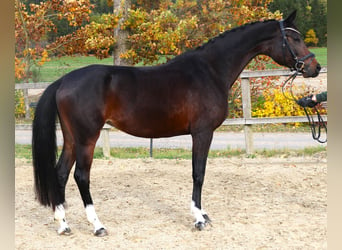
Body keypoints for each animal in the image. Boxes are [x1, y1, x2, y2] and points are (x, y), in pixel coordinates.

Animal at [32, 10, 320, 236]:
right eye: (294, 38)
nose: (314, 67)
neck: (210, 70)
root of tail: (64, 81)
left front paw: (204, 215)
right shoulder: (202, 133)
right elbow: (198, 173)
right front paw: (199, 218)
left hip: (72, 138)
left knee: (60, 174)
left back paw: (63, 224)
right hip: (87, 138)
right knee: (81, 176)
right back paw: (97, 225)